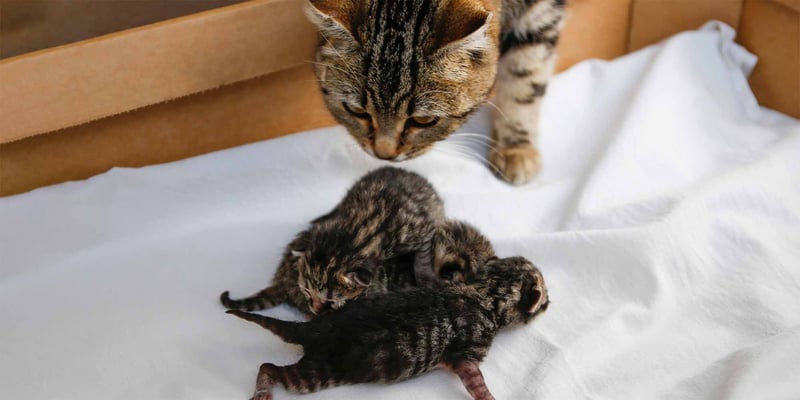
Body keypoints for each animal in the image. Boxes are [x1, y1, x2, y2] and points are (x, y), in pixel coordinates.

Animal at [219, 166, 444, 316]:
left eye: (330, 300)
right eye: (307, 291)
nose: (315, 310)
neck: (358, 230)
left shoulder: (421, 228)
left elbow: (423, 255)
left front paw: (426, 277)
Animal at [228, 256, 548, 400]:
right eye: (545, 302)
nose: (550, 303)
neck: (487, 290)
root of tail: (314, 329)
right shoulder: (467, 354)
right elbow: (476, 382)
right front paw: (490, 397)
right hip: (320, 371)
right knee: (268, 367)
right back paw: (263, 392)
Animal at [304, 0, 564, 184]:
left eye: (424, 120)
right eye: (356, 110)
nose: (384, 154)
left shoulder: (541, 10)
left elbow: (525, 76)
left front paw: (516, 147)